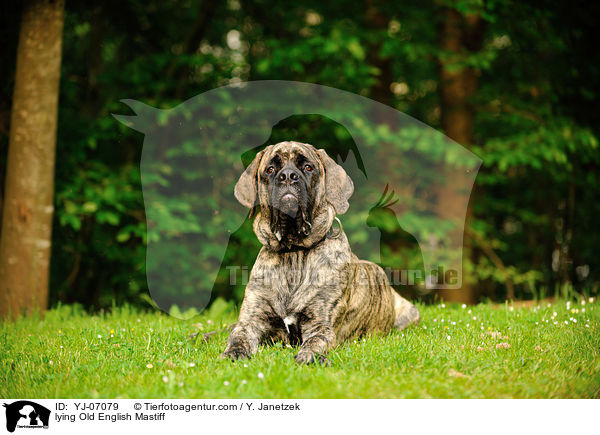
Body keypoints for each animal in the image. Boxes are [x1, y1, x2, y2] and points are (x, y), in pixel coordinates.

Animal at [221, 141, 422, 364]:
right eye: (271, 169)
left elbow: (314, 341)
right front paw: (234, 352)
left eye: (308, 167)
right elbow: (238, 336)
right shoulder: (251, 320)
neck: (293, 252)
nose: (288, 176)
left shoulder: (321, 324)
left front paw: (308, 357)